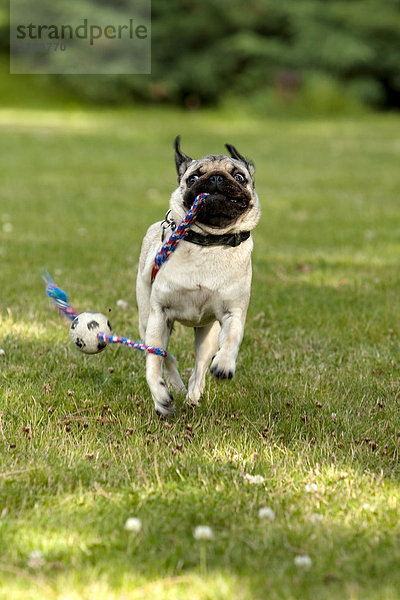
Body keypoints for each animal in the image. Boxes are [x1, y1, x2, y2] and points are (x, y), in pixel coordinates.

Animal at [137, 138, 262, 414]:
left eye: (239, 177)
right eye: (193, 178)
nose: (216, 178)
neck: (208, 243)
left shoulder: (233, 312)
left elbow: (233, 336)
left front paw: (224, 364)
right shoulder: (159, 314)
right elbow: (153, 361)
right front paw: (159, 396)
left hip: (207, 333)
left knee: (200, 365)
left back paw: (194, 393)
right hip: (147, 320)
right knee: (165, 356)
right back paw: (174, 387)